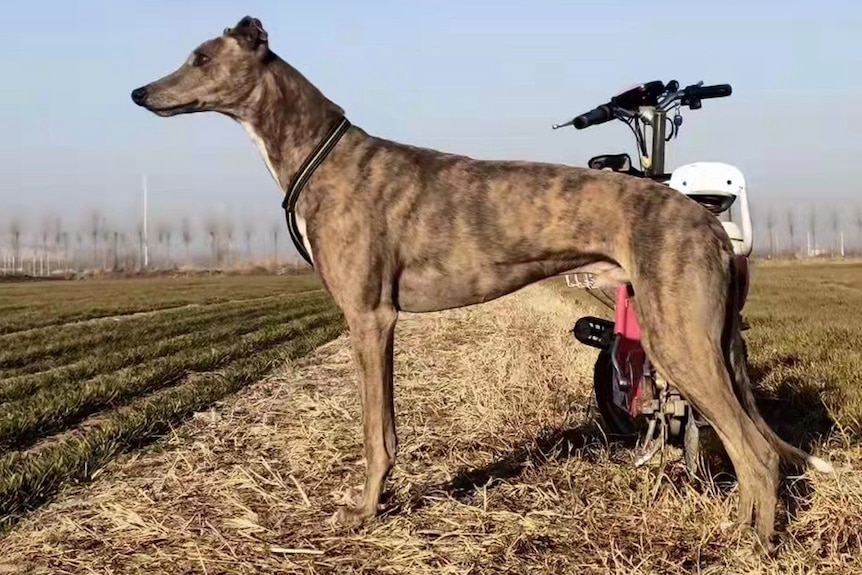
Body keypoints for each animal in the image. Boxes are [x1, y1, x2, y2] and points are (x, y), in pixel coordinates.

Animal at [132, 15, 832, 552]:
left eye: (200, 57)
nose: (139, 93)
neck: (319, 156)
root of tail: (710, 224)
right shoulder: (377, 320)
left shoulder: (370, 317)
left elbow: (376, 432)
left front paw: (363, 512)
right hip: (696, 339)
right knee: (751, 449)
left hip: (679, 337)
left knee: (758, 453)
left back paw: (750, 545)